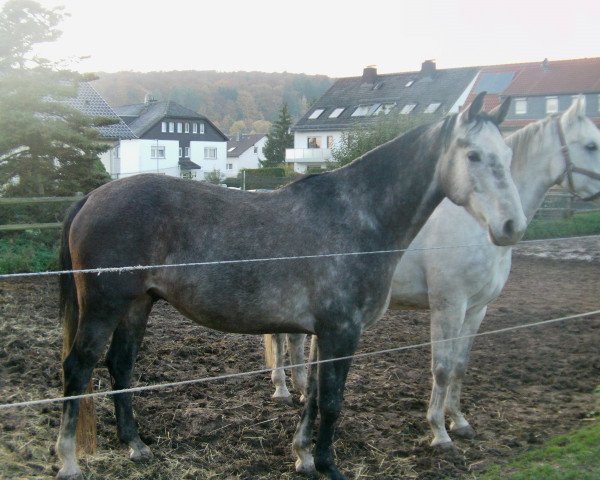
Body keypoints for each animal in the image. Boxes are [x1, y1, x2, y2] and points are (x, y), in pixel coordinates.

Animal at [266, 95, 600, 448]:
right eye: (591, 145)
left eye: (508, 158)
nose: (512, 227)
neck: (475, 222)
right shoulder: (448, 305)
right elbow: (442, 367)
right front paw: (439, 431)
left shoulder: (477, 309)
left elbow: (460, 366)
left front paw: (459, 421)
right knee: (281, 338)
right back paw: (283, 389)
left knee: (291, 339)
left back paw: (300, 390)